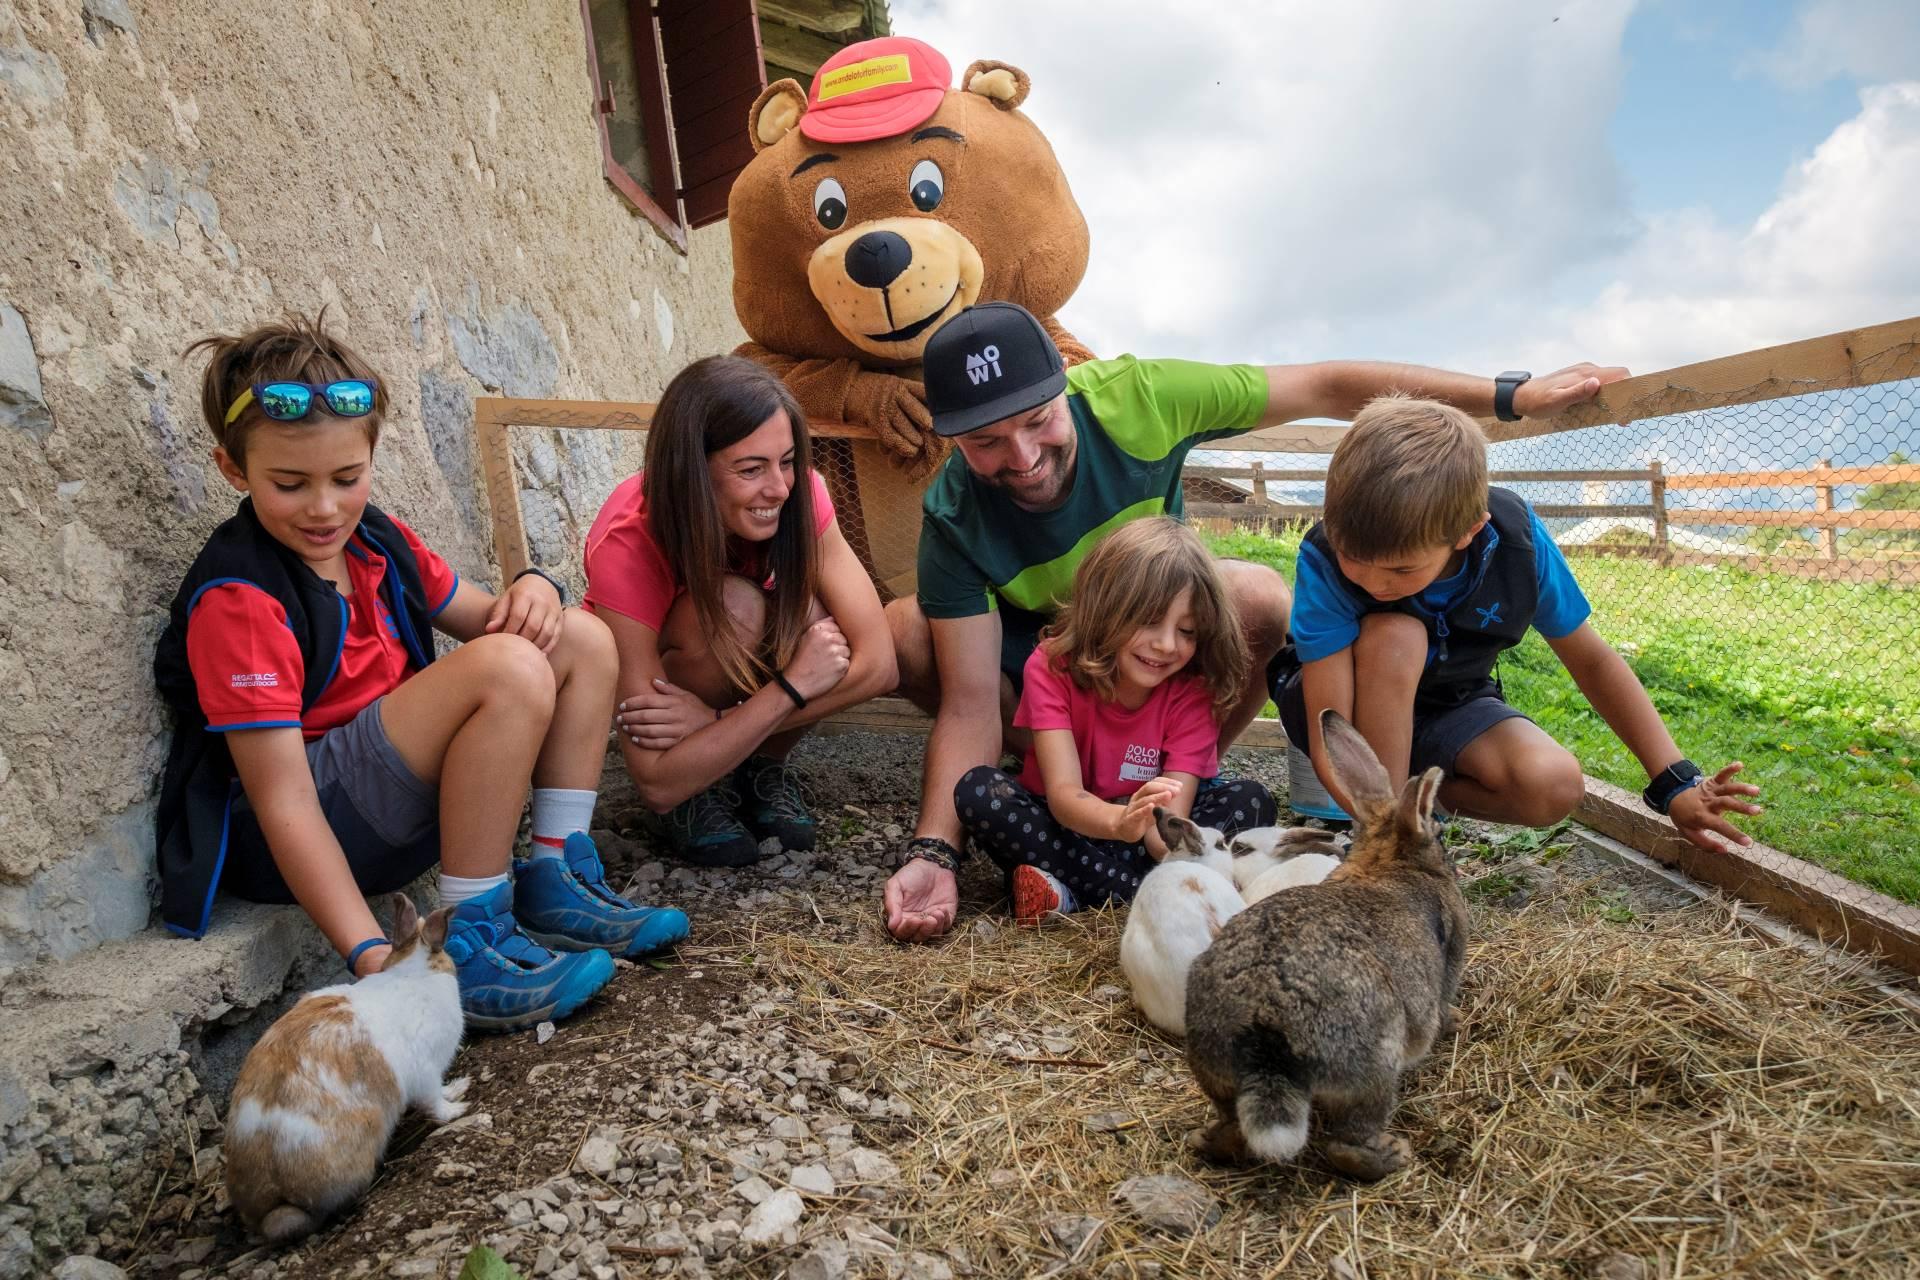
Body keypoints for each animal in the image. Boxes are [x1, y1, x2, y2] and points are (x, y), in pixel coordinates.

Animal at [221, 898, 464, 1243]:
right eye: (446, 957)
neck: (411, 973)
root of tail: (270, 1197)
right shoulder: (426, 1071)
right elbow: (435, 1101)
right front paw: (458, 1107)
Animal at [1175, 710, 1459, 1182]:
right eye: (1438, 836)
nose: (1449, 861)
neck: (1388, 863)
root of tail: (1265, 1025)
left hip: (1214, 1067)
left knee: (1233, 1129)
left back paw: (1204, 1140)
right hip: (1374, 1066)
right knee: (1346, 1145)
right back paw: (1393, 1154)